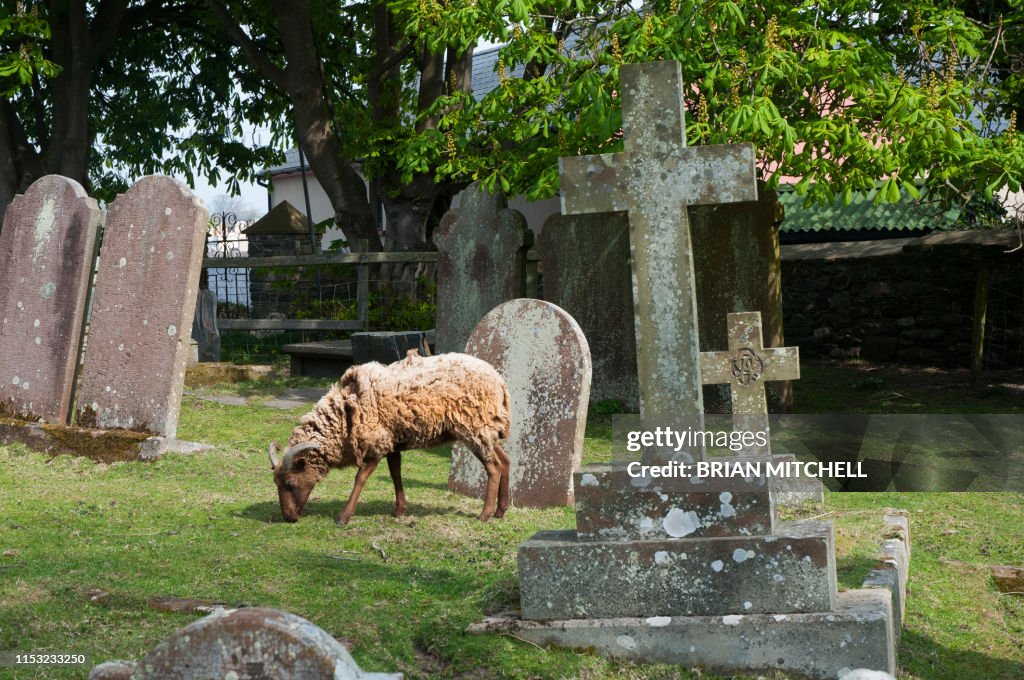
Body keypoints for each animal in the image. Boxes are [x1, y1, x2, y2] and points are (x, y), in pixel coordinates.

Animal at [268, 350, 512, 524]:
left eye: (290, 482)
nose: (288, 518)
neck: (344, 414)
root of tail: (500, 382)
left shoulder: (375, 443)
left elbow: (360, 478)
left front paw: (344, 516)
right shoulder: (393, 442)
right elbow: (396, 473)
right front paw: (400, 510)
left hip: (475, 428)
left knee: (493, 467)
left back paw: (485, 514)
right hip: (487, 429)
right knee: (505, 461)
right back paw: (501, 511)